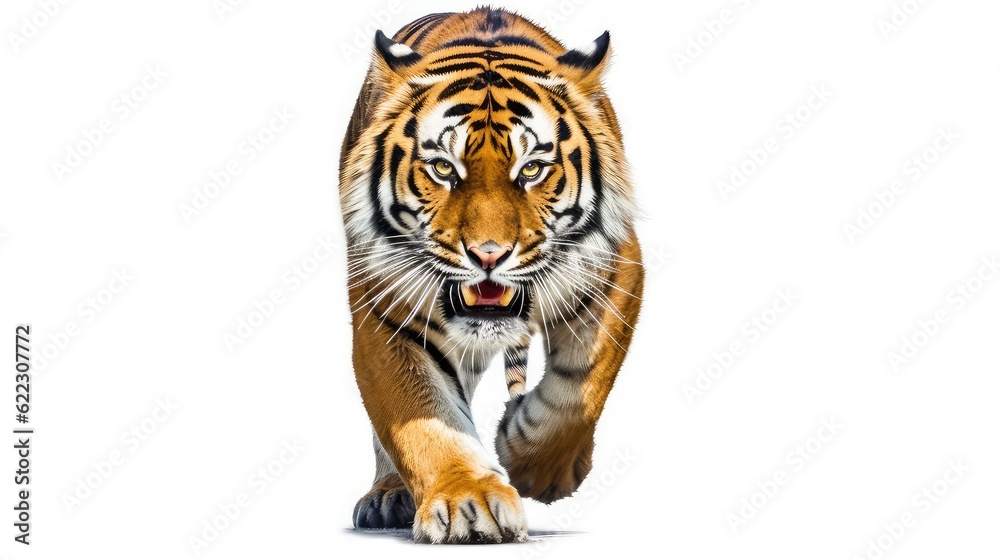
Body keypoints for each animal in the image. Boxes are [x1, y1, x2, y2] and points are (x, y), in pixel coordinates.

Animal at [339, 6, 644, 544]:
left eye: (532, 169)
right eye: (443, 168)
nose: (488, 255)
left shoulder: (616, 270)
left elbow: (582, 389)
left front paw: (533, 467)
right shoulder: (384, 309)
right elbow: (422, 418)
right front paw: (468, 503)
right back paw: (388, 496)